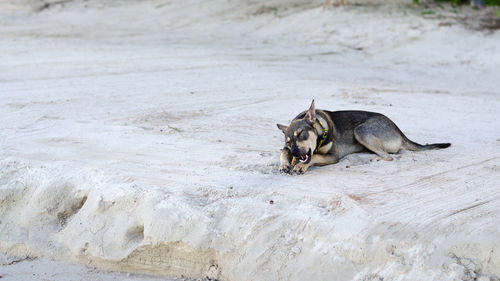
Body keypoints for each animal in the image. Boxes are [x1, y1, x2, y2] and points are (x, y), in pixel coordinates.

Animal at [276, 98, 452, 173]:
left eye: (301, 134)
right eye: (289, 141)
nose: (294, 152)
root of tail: (398, 130)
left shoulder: (333, 156)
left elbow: (315, 157)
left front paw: (300, 166)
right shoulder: (286, 148)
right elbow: (282, 153)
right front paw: (285, 164)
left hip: (361, 131)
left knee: (388, 156)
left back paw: (374, 157)